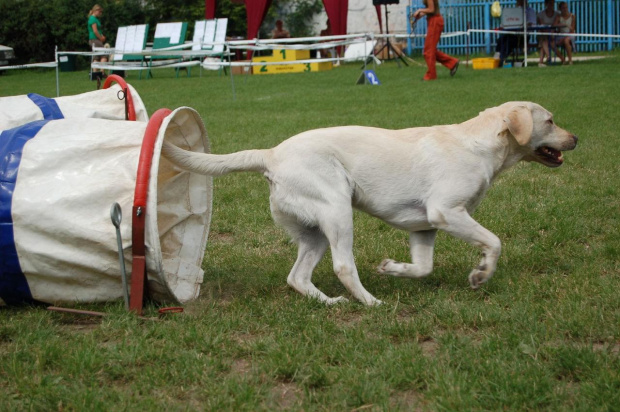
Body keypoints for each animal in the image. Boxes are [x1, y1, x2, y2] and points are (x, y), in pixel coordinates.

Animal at [163, 100, 576, 306]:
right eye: (551, 120)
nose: (576, 138)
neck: (479, 143)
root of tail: (271, 154)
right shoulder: (446, 213)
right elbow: (494, 242)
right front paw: (481, 273)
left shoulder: (425, 227)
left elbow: (422, 268)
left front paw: (393, 268)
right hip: (337, 211)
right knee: (344, 266)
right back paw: (372, 303)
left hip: (314, 232)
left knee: (297, 277)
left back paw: (331, 303)